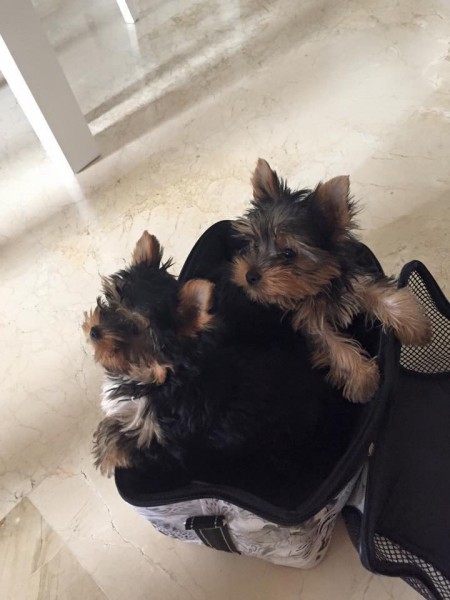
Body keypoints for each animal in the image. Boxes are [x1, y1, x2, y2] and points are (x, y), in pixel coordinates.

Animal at [82, 231, 357, 498]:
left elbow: (126, 442)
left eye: (135, 329)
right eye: (111, 301)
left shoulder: (170, 446)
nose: (95, 331)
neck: (160, 375)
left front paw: (105, 451)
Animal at [231, 159, 431, 403]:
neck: (320, 285)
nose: (249, 275)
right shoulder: (308, 320)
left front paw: (416, 327)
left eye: (289, 253)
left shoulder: (350, 280)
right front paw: (363, 380)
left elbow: (379, 294)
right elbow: (333, 346)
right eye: (254, 243)